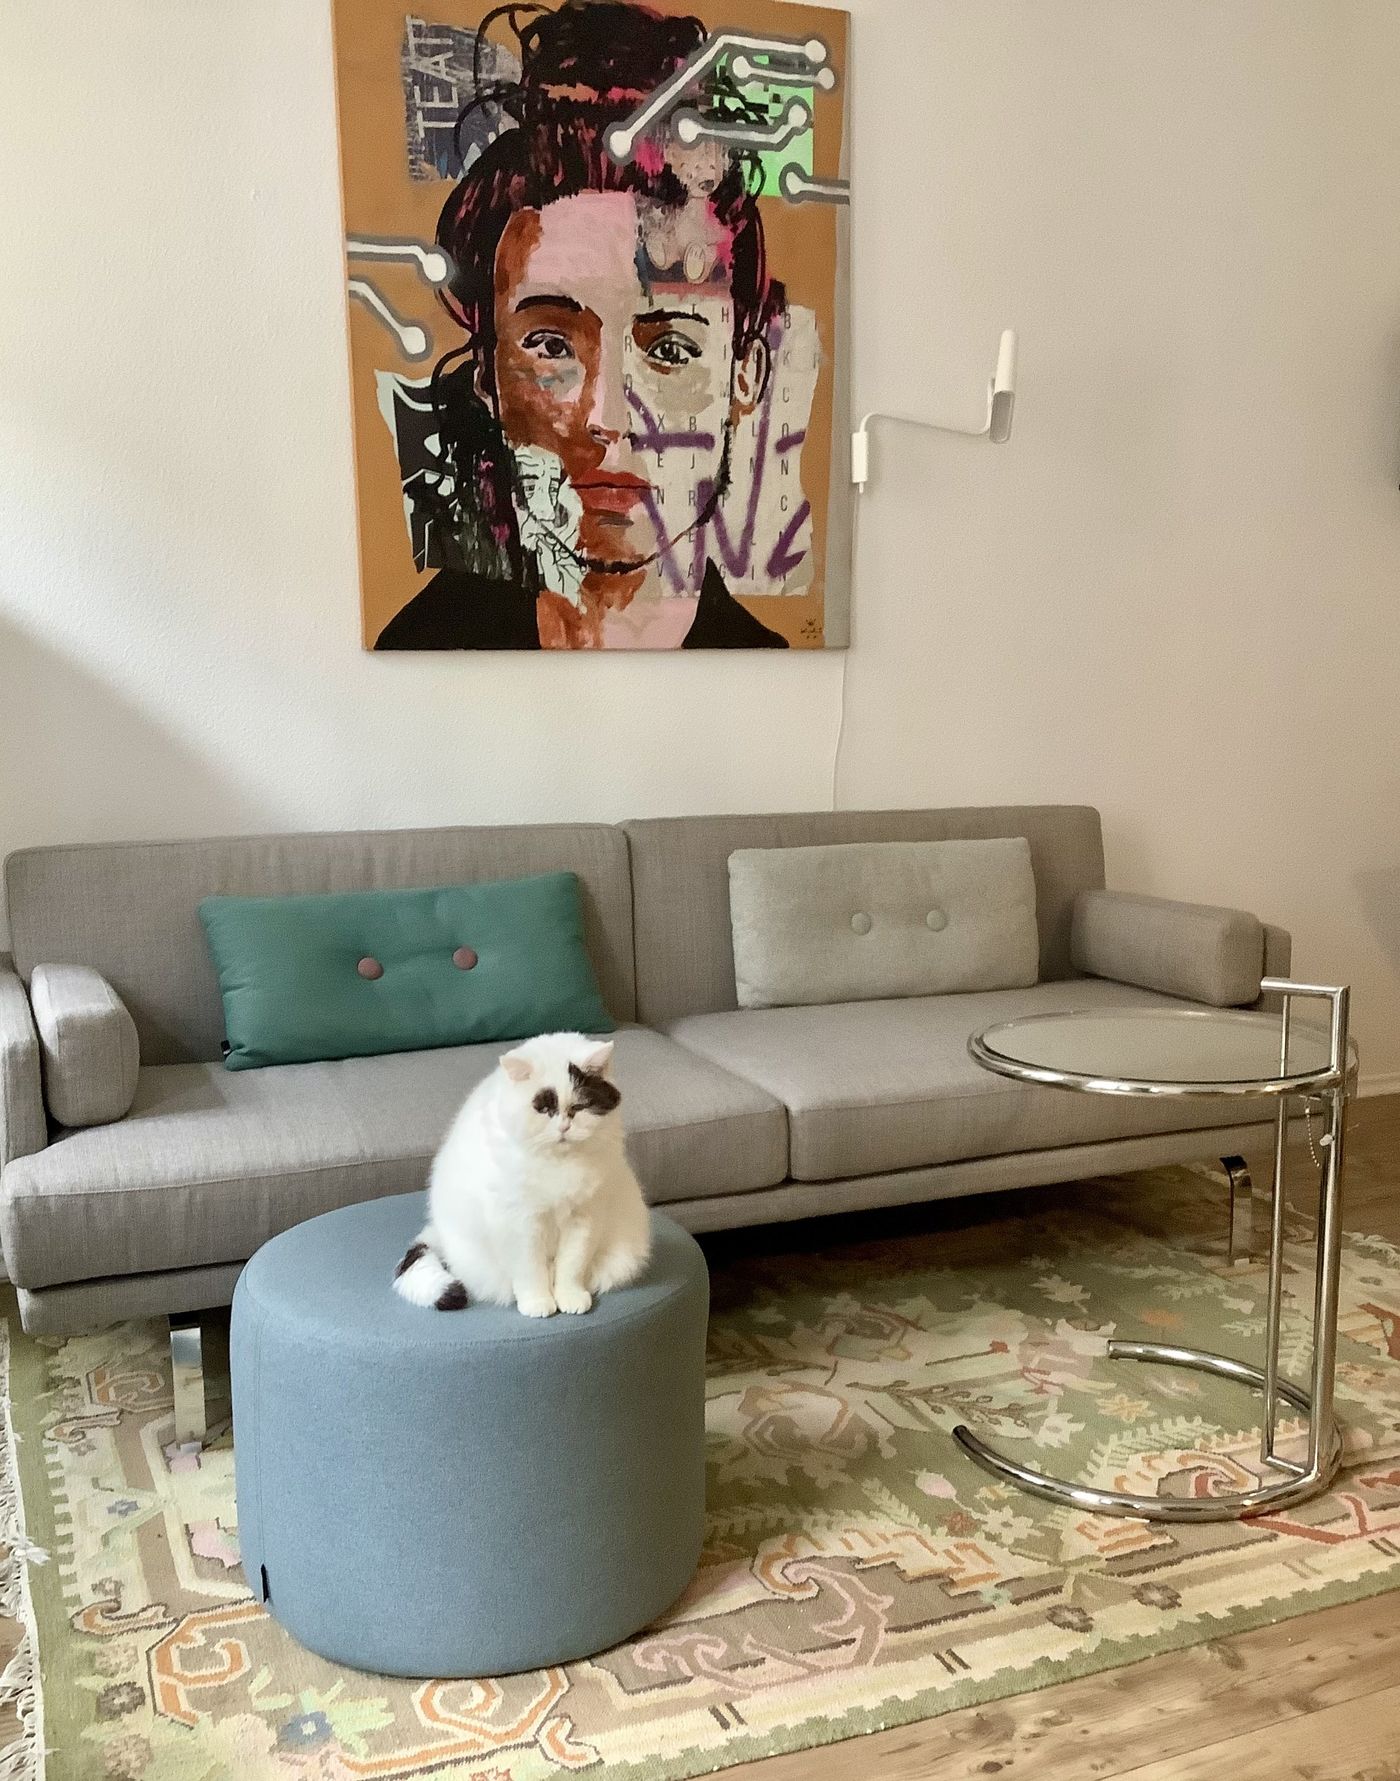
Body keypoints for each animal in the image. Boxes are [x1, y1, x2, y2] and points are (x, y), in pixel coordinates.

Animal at [392, 1032, 651, 1317]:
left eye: (580, 1107)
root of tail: (438, 1229)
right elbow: (530, 1270)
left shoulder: (584, 1218)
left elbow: (572, 1266)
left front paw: (569, 1297)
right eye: (544, 1109)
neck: (558, 1166)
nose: (564, 1127)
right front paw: (537, 1302)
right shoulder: (520, 1224)